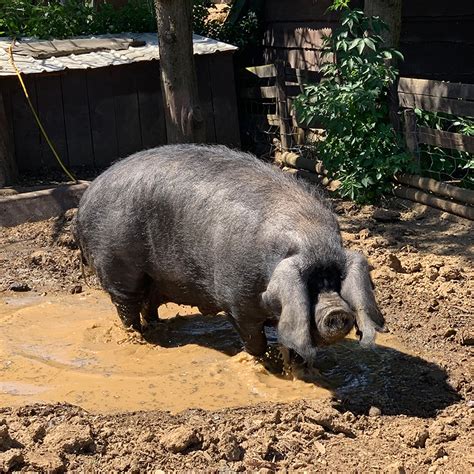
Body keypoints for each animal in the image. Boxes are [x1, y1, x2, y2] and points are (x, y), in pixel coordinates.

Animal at [73, 143, 386, 360]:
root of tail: (85, 199)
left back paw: (155, 329)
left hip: (153, 277)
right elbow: (253, 339)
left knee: (148, 304)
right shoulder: (236, 301)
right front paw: (264, 363)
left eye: (335, 280)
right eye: (310, 282)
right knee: (126, 306)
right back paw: (138, 336)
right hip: (117, 266)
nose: (337, 311)